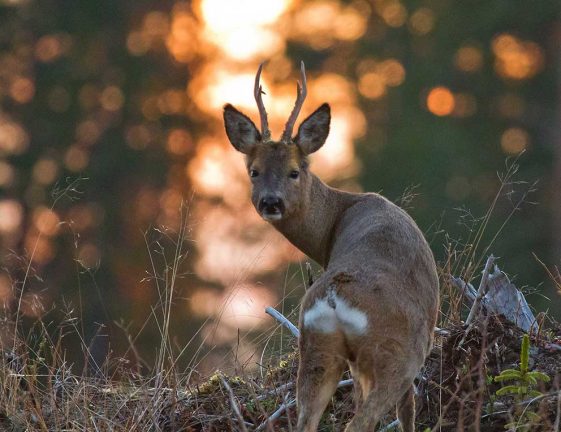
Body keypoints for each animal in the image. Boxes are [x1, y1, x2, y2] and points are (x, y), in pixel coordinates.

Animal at [222, 62, 438, 430]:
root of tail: (334, 300)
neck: (335, 222)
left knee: (307, 421)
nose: (270, 202)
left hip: (316, 348)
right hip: (394, 353)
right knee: (362, 420)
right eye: (254, 171)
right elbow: (408, 413)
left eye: (294, 171)